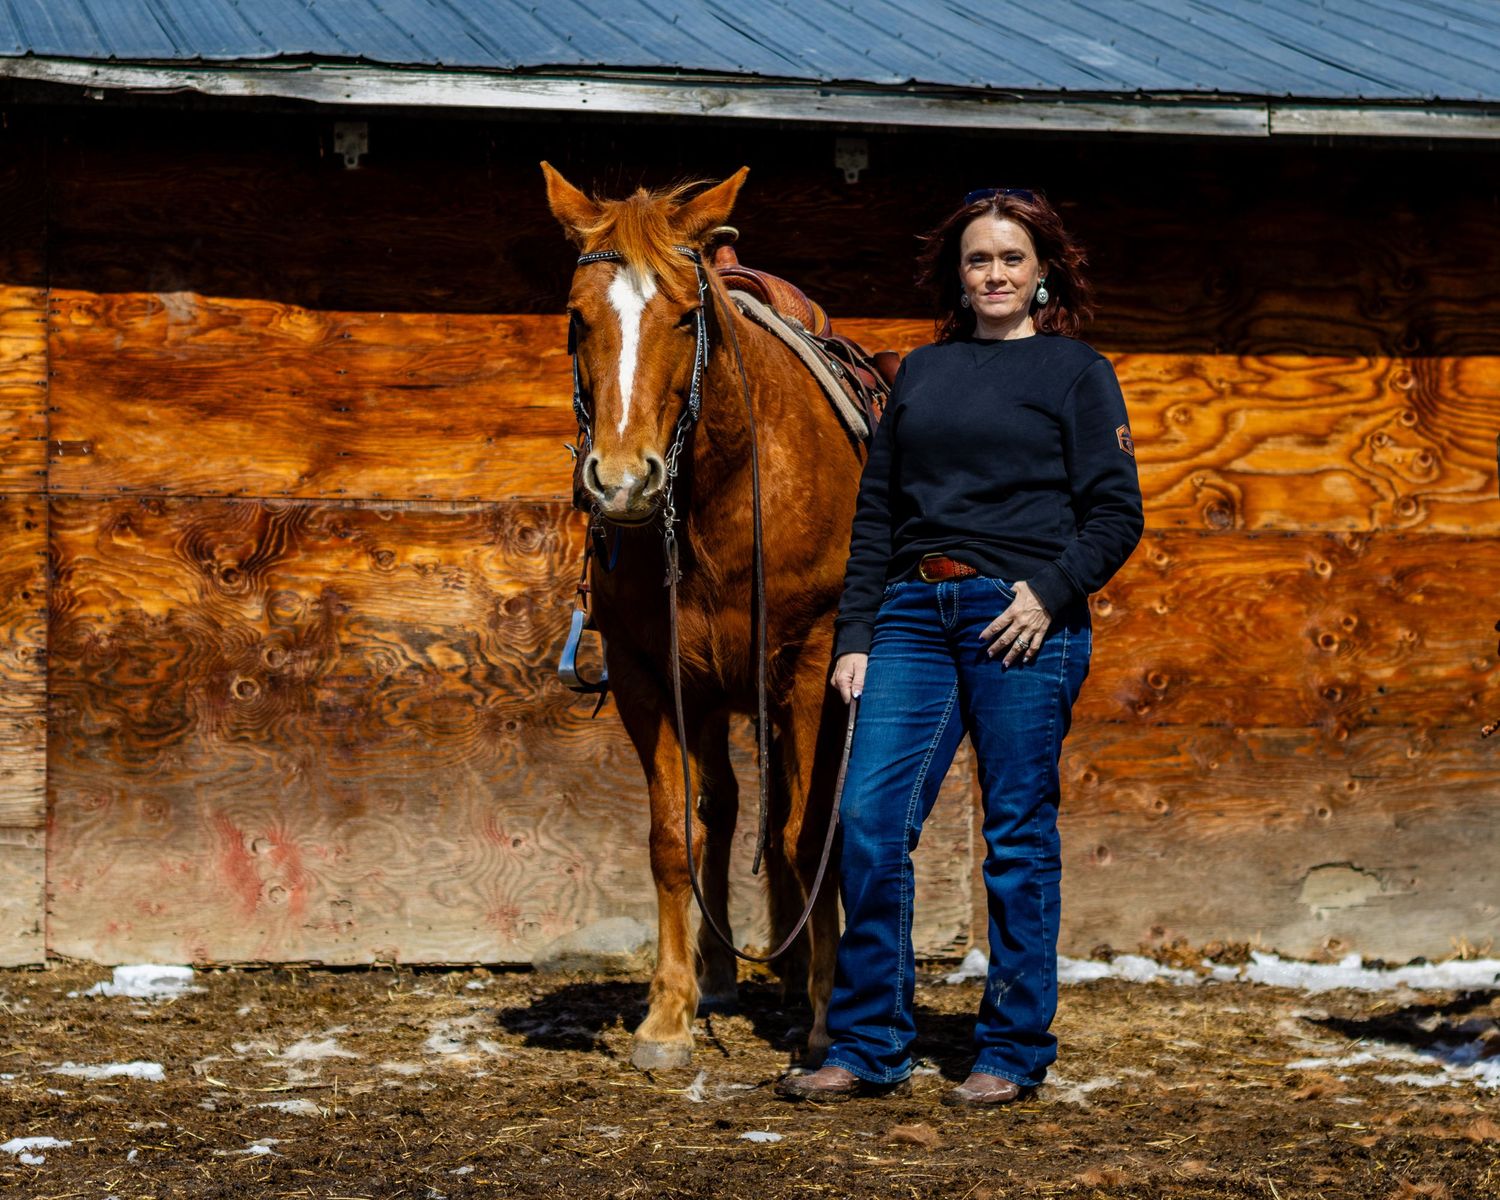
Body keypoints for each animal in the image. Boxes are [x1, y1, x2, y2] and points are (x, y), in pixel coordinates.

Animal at [542, 162, 868, 1069]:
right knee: (721, 809)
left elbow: (808, 834)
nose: (623, 481)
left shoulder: (812, 663)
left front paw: (825, 1015)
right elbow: (671, 839)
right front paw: (667, 1014)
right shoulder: (645, 675)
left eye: (687, 316)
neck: (719, 490)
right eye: (576, 319)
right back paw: (728, 975)